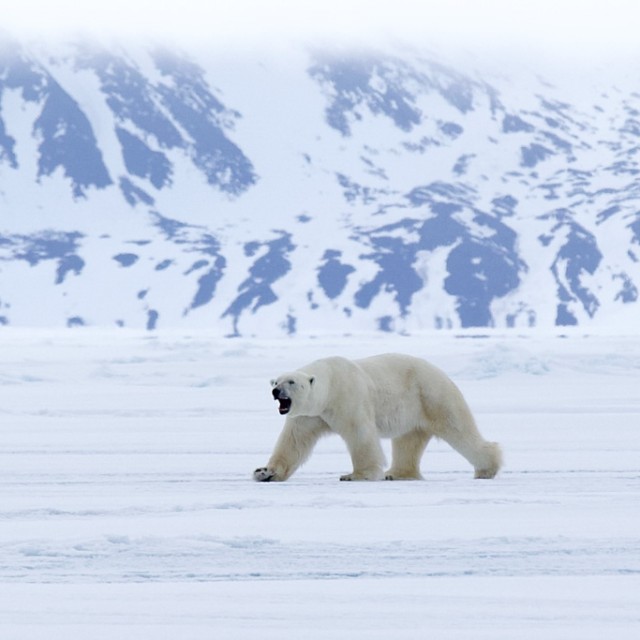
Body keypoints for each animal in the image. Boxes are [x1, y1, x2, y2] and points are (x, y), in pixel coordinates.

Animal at [253, 353, 502, 482]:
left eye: (292, 382)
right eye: (276, 381)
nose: (276, 391)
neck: (330, 385)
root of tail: (441, 372)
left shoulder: (347, 398)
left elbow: (360, 434)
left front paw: (356, 475)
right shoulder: (309, 415)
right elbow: (293, 442)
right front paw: (264, 472)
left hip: (433, 396)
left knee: (459, 429)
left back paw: (487, 469)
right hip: (413, 412)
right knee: (408, 442)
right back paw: (398, 474)